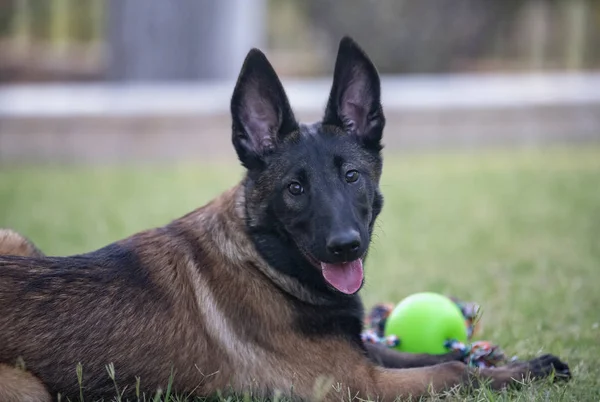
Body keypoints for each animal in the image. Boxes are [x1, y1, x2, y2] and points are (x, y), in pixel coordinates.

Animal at [1, 36, 572, 400]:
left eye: (352, 177)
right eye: (295, 189)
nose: (345, 245)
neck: (263, 260)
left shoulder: (359, 356)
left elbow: (419, 354)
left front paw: (509, 360)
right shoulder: (355, 386)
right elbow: (452, 369)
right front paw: (517, 371)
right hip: (30, 388)